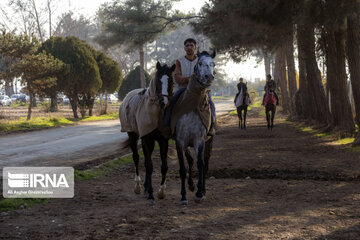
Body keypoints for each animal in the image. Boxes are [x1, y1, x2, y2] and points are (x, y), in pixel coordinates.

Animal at [173, 50, 215, 204]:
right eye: (200, 63)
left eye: (213, 64)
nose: (209, 77)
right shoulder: (180, 142)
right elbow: (183, 168)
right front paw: (184, 196)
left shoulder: (200, 140)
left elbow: (200, 164)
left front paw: (199, 192)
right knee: (190, 161)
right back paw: (191, 185)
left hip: (209, 140)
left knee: (205, 162)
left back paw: (202, 189)